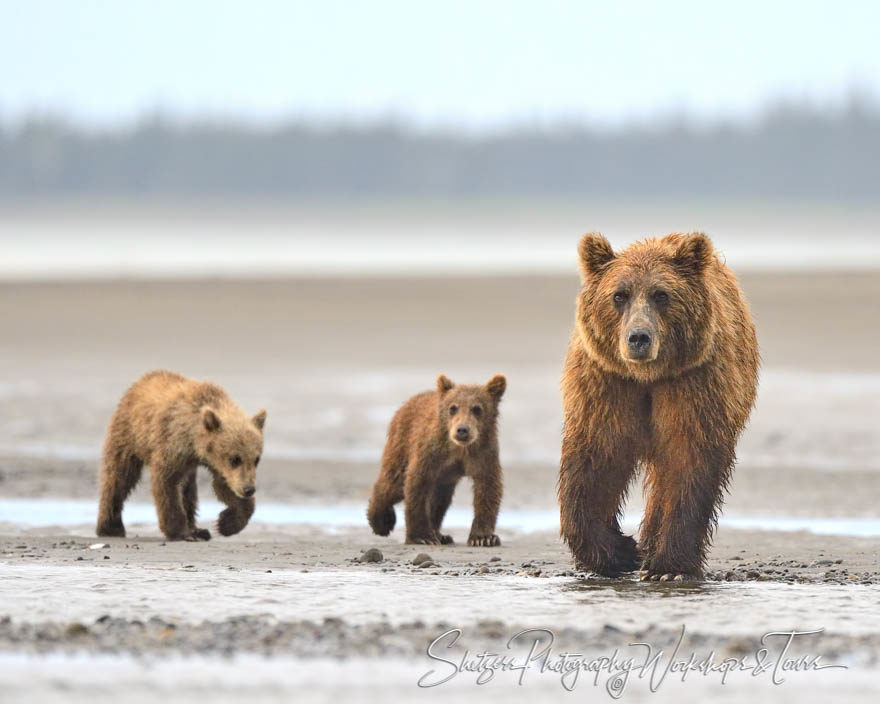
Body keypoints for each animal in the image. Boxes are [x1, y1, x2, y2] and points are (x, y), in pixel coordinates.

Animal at [96, 372, 266, 540]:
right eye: (234, 459)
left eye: (256, 460)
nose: (249, 489)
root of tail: (141, 380)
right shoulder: (172, 444)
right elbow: (167, 484)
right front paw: (179, 532)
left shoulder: (216, 464)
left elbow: (223, 485)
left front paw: (227, 523)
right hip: (129, 434)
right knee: (119, 477)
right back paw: (110, 527)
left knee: (188, 489)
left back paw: (197, 530)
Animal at [370, 376, 508, 548]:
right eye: (453, 408)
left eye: (477, 408)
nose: (462, 430)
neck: (458, 449)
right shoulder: (430, 453)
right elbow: (417, 486)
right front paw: (421, 537)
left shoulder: (483, 454)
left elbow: (488, 488)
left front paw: (484, 538)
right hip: (402, 444)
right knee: (393, 484)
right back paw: (381, 522)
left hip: (445, 477)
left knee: (440, 499)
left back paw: (440, 535)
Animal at [560, 234, 760, 580]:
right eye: (619, 295)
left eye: (661, 294)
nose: (638, 337)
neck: (647, 377)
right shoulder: (608, 384)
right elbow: (596, 457)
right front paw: (617, 552)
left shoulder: (692, 384)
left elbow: (688, 462)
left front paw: (669, 567)